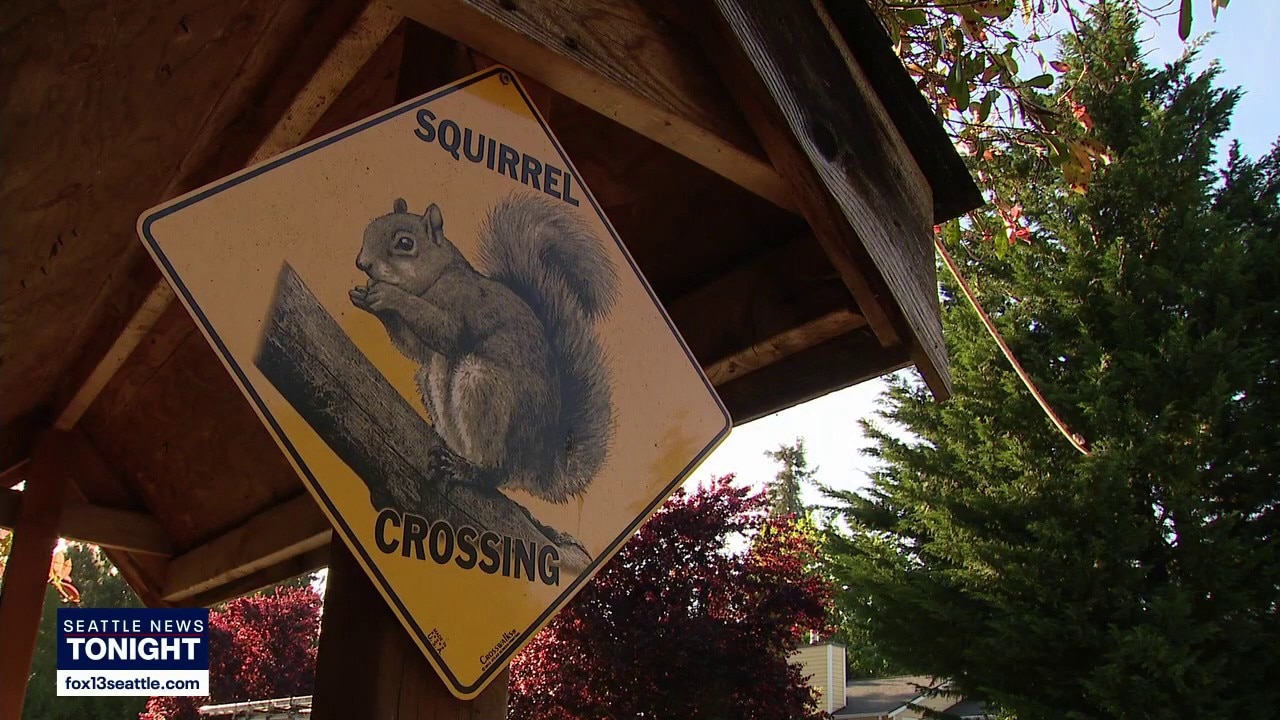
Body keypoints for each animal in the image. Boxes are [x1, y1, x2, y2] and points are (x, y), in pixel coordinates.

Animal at [349, 192, 620, 504]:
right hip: (429, 380)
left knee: (497, 473)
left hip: (483, 387)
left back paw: (466, 470)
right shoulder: (421, 347)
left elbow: (447, 333)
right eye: (370, 228)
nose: (362, 263)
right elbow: (414, 348)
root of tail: (540, 464)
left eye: (405, 243)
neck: (439, 275)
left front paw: (388, 295)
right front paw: (366, 298)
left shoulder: (464, 303)